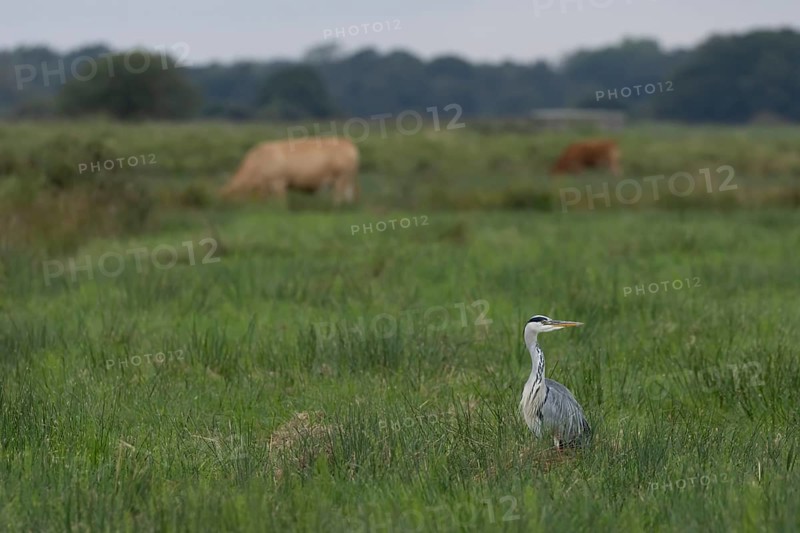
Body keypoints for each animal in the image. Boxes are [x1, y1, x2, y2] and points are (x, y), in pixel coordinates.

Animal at [221, 137, 359, 205]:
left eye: (230, 196)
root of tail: (348, 143)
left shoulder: (278, 183)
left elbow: (281, 203)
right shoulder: (264, 188)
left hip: (341, 178)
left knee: (339, 197)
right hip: (347, 180)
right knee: (348, 197)